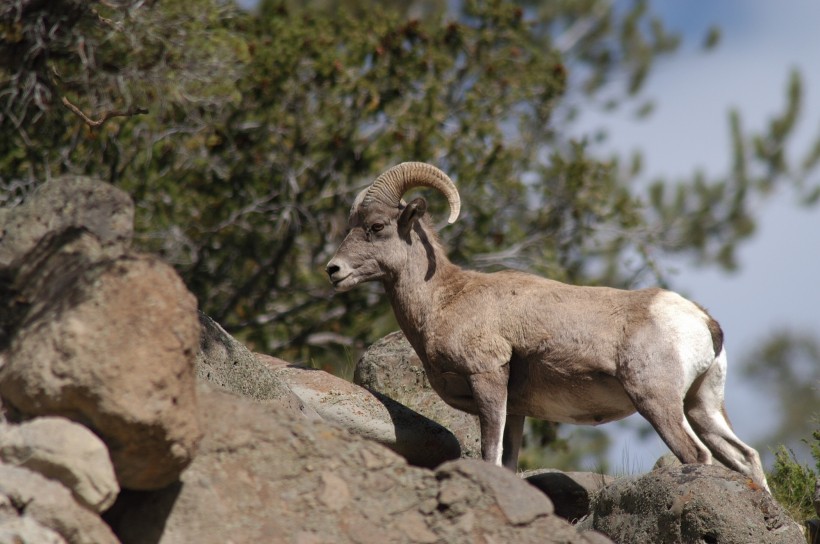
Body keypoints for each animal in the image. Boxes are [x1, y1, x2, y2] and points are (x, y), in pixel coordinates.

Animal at [326, 163, 768, 492]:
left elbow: (489, 455)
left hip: (658, 403)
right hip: (701, 404)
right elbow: (507, 463)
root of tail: (701, 320)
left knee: (698, 457)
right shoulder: (518, 410)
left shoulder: (488, 379)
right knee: (745, 458)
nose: (333, 270)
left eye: (377, 227)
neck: (444, 300)